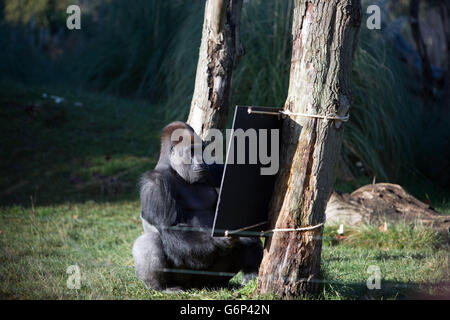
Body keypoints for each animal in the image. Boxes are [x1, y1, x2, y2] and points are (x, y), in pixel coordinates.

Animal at [132, 120, 262, 290]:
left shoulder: (215, 169)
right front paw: (218, 240)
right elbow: (171, 227)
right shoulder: (154, 184)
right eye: (192, 152)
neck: (174, 169)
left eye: (201, 151)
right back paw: (163, 287)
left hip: (214, 277)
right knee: (150, 241)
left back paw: (249, 272)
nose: (201, 162)